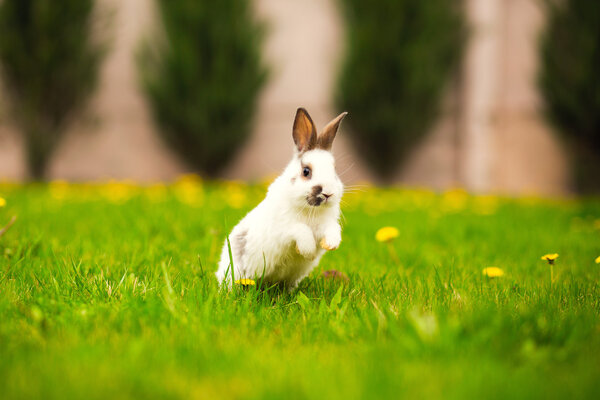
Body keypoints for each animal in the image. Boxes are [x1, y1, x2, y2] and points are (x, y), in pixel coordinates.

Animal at [214, 107, 346, 288]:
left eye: (335, 171)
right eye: (306, 171)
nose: (328, 193)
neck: (309, 210)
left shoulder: (325, 224)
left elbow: (332, 229)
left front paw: (332, 244)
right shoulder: (284, 229)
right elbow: (300, 230)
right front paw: (308, 251)